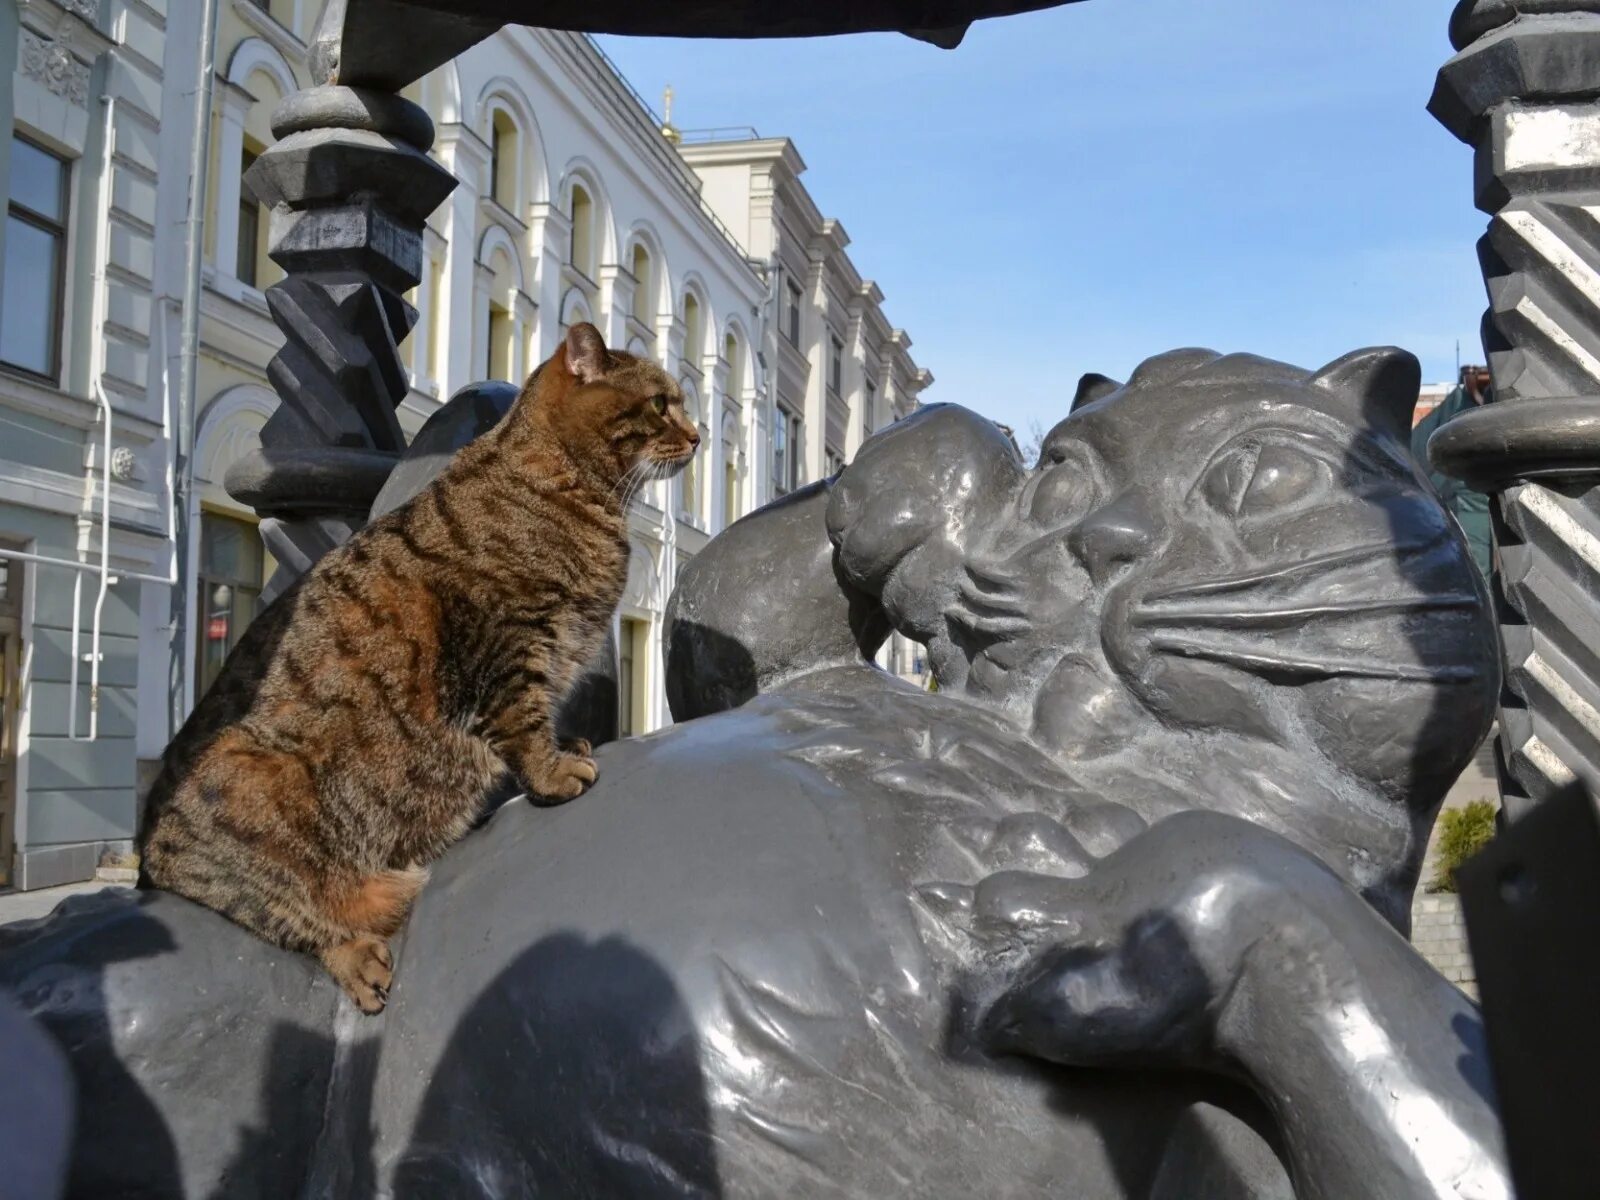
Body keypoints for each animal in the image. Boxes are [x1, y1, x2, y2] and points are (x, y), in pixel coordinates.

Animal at [144, 324, 700, 1011]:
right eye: (660, 404)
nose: (699, 434)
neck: (572, 487)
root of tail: (150, 852)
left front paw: (566, 743)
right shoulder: (508, 646)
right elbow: (523, 723)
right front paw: (552, 771)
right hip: (250, 781)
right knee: (286, 912)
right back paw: (356, 956)